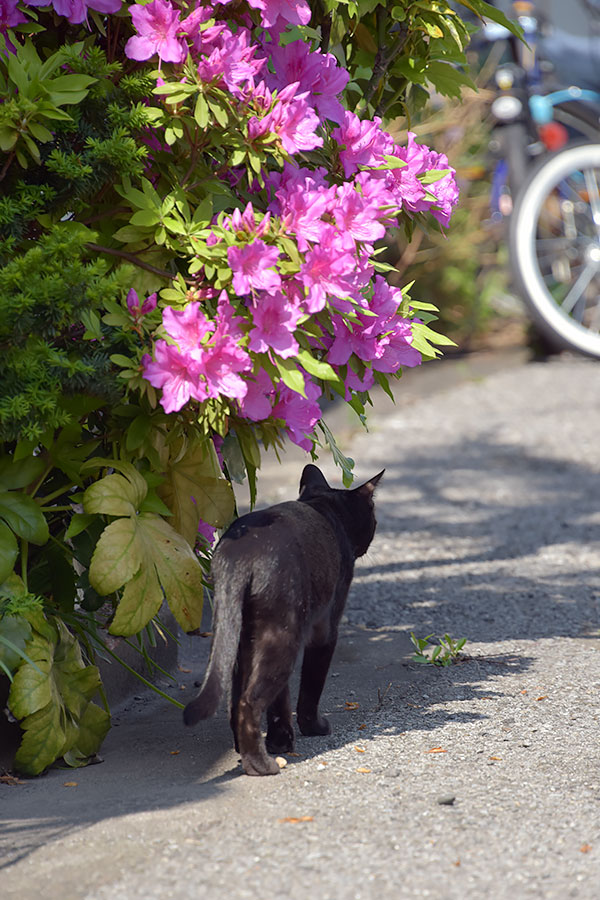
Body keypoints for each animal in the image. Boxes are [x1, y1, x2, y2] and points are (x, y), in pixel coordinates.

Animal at [180, 464, 384, 772]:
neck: (325, 507)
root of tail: (239, 554)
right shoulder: (325, 629)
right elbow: (311, 685)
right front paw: (313, 728)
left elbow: (281, 700)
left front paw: (282, 740)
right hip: (283, 636)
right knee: (249, 701)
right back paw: (261, 766)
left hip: (242, 637)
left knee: (236, 697)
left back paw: (248, 750)